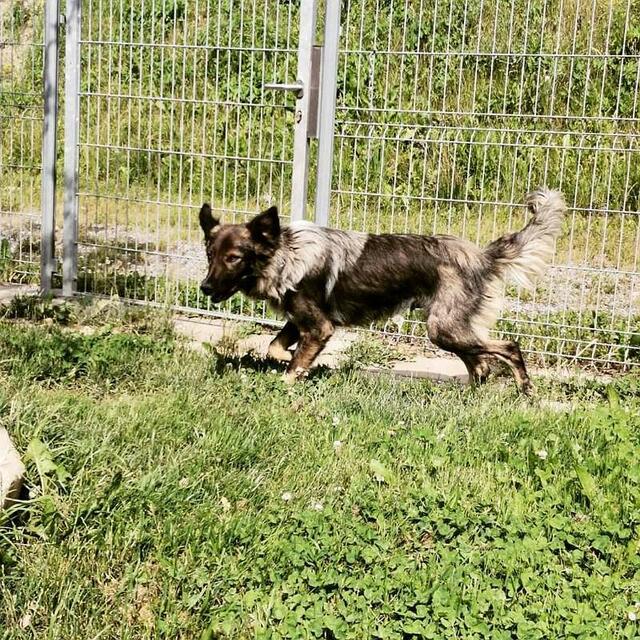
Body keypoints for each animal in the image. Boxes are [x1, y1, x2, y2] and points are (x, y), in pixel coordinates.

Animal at [199, 188, 564, 392]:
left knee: (508, 348)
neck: (286, 254)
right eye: (210, 254)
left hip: (444, 328)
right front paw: (294, 361)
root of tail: (481, 255)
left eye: (233, 258)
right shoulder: (300, 321)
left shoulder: (319, 327)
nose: (204, 287)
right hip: (448, 330)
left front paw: (289, 381)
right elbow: (275, 348)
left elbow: (291, 368)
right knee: (481, 364)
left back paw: (525, 390)